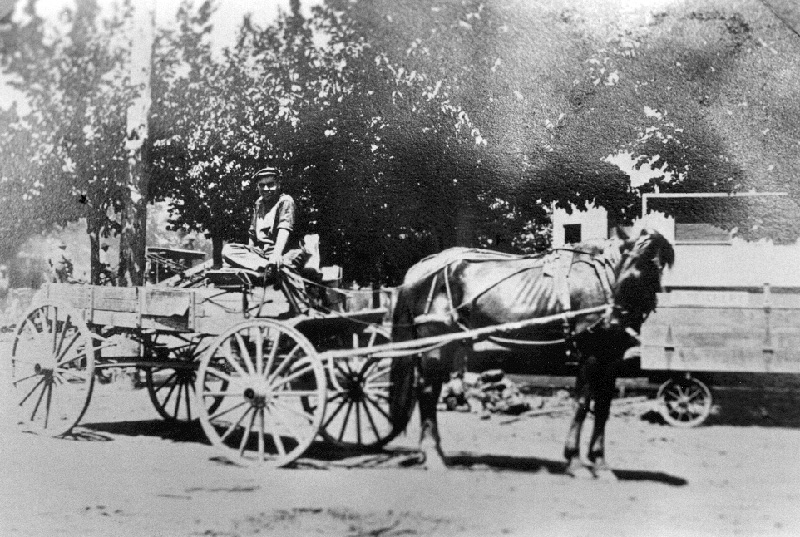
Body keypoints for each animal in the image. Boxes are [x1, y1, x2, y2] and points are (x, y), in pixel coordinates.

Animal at [388, 227, 676, 478]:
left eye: (652, 270)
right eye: (628, 267)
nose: (614, 320)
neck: (601, 280)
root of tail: (421, 269)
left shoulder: (611, 360)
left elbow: (603, 408)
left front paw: (601, 465)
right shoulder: (589, 356)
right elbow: (582, 404)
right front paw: (575, 462)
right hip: (437, 345)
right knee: (427, 393)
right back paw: (433, 456)